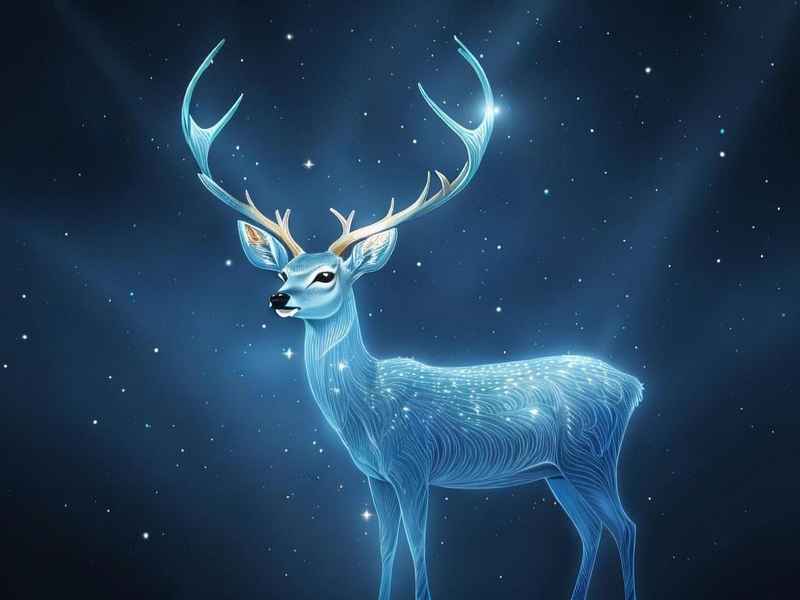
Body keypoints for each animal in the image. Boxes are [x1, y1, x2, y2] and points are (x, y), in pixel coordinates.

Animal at [181, 37, 643, 600]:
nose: (277, 298)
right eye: (286, 269)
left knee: (624, 525)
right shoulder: (375, 476)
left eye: (327, 275)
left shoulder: (412, 465)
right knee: (592, 530)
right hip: (557, 469)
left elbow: (420, 550)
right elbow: (385, 550)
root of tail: (634, 386)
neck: (366, 407)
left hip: (591, 453)